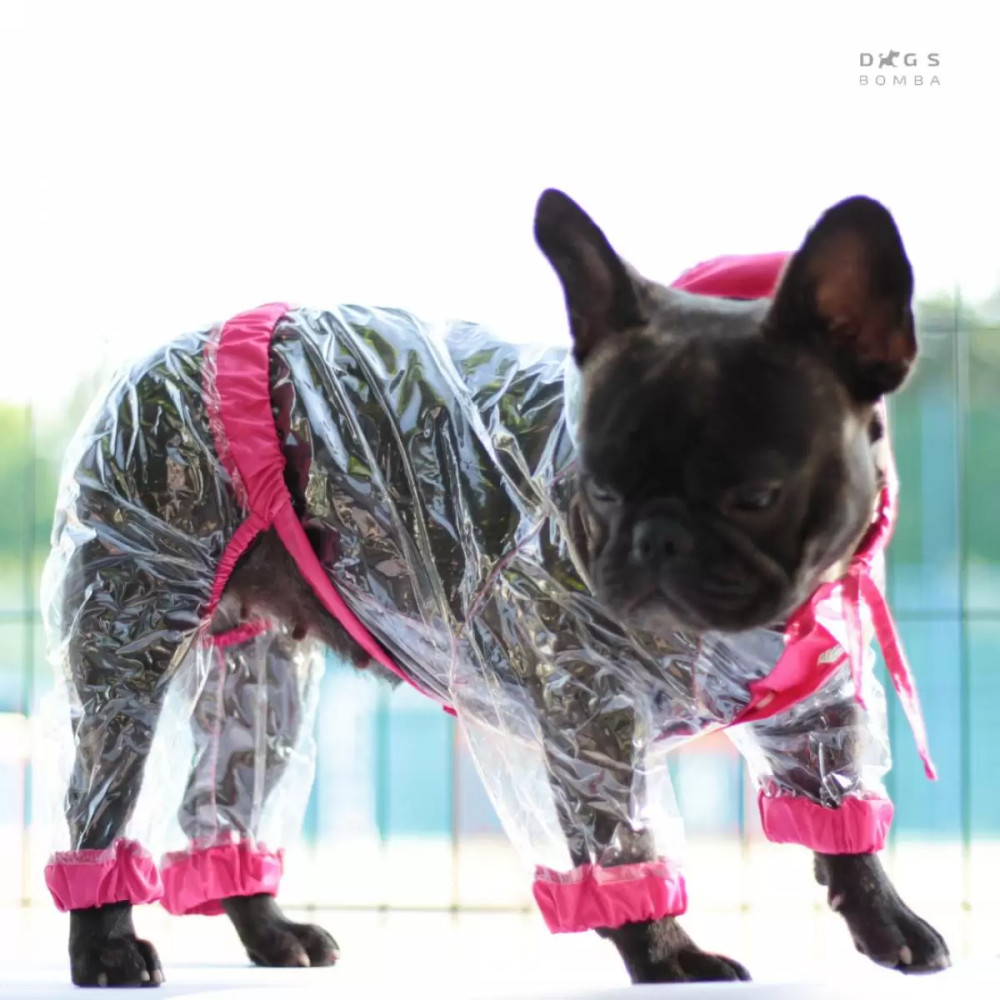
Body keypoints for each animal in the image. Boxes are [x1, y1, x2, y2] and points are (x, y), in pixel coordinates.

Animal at [41, 188, 950, 986]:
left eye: (757, 495)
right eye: (598, 486)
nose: (654, 537)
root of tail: (165, 353)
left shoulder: (818, 691)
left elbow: (841, 816)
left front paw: (888, 922)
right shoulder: (587, 707)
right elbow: (622, 843)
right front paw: (668, 956)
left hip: (258, 673)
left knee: (227, 791)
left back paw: (270, 932)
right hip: (129, 621)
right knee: (104, 796)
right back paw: (106, 947)